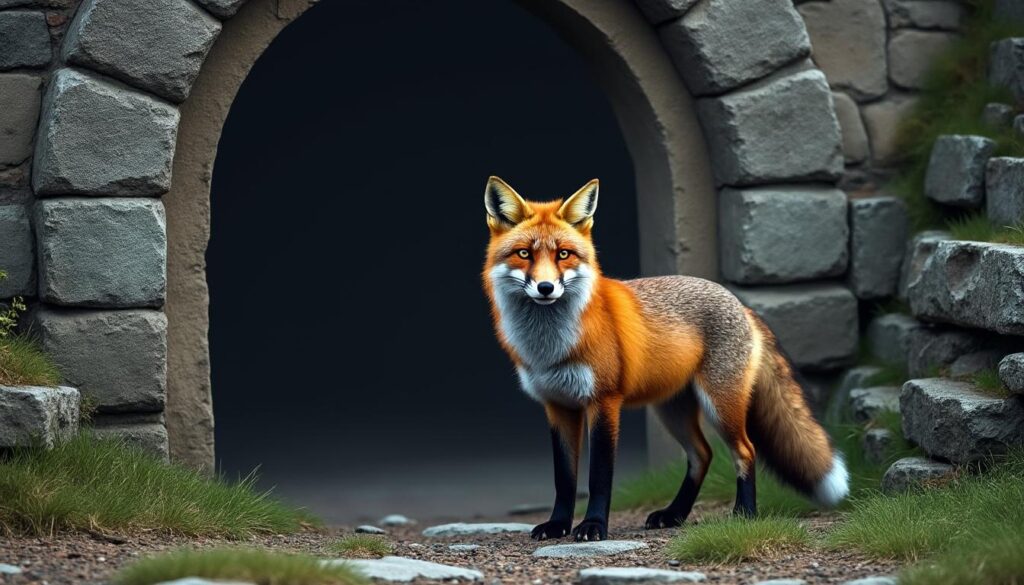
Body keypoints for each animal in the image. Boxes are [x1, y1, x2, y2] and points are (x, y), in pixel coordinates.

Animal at [482, 176, 849, 542]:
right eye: (524, 253)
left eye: (563, 254)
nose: (545, 288)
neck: (551, 346)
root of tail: (740, 304)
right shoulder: (558, 406)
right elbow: (564, 478)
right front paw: (558, 524)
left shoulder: (604, 401)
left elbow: (598, 476)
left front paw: (594, 526)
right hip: (672, 410)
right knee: (702, 455)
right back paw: (674, 514)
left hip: (720, 405)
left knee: (745, 451)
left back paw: (744, 513)